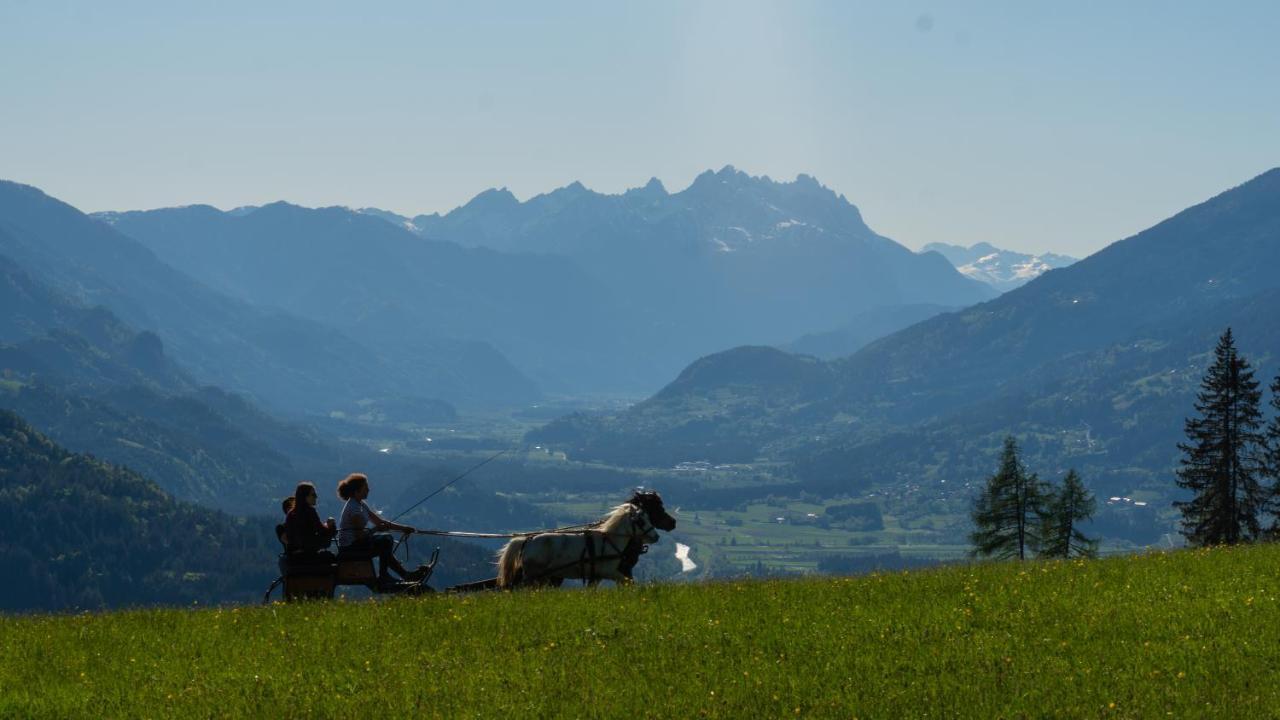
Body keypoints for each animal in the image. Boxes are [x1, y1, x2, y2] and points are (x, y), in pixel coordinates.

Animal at [494, 486, 680, 589]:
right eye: (641, 520)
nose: (672, 523)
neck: (611, 541)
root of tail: (527, 540)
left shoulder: (596, 576)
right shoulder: (611, 572)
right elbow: (628, 583)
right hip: (534, 576)